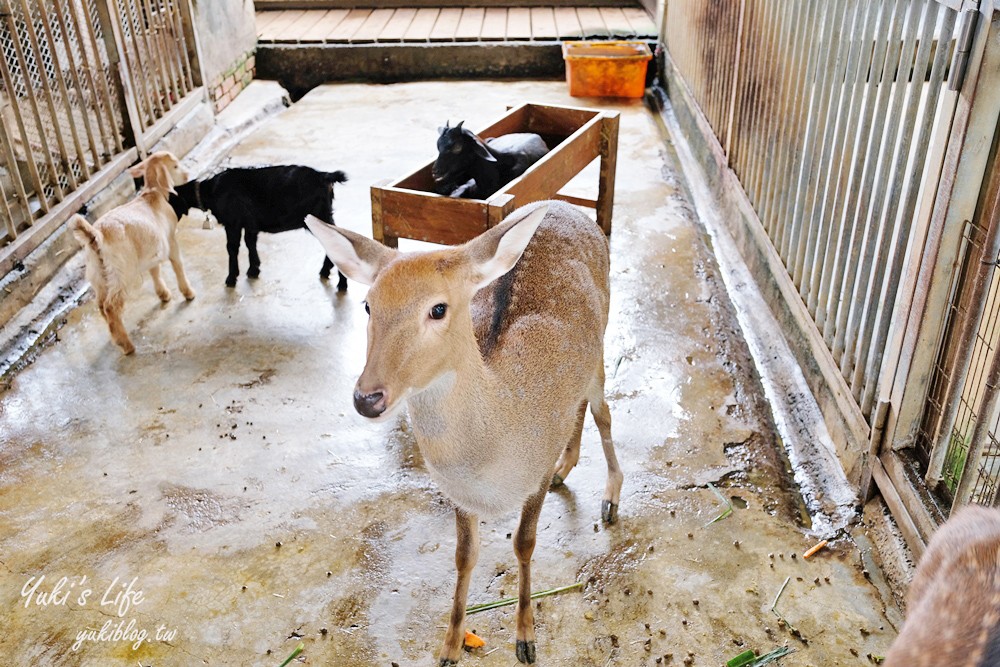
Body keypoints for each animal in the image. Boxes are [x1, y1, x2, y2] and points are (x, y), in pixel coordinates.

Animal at [71, 151, 194, 354]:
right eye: (175, 166)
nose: (186, 176)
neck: (153, 194)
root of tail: (96, 236)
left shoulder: (152, 248)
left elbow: (155, 270)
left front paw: (164, 295)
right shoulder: (170, 240)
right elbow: (178, 265)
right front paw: (188, 293)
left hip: (98, 274)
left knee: (101, 304)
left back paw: (115, 335)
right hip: (121, 271)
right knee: (111, 306)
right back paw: (126, 345)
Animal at [169, 166, 348, 288]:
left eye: (169, 200)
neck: (210, 190)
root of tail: (324, 176)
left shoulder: (233, 222)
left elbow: (232, 247)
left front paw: (231, 278)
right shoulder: (250, 223)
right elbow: (250, 242)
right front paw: (254, 269)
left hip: (319, 216)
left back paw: (341, 283)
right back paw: (326, 271)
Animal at [304, 201, 620, 664]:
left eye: (438, 309)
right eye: (367, 306)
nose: (368, 398)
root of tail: (567, 207)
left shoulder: (536, 471)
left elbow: (524, 543)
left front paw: (526, 639)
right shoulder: (456, 493)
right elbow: (464, 557)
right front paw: (449, 647)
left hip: (601, 345)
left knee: (603, 410)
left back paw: (610, 498)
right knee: (581, 408)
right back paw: (568, 466)